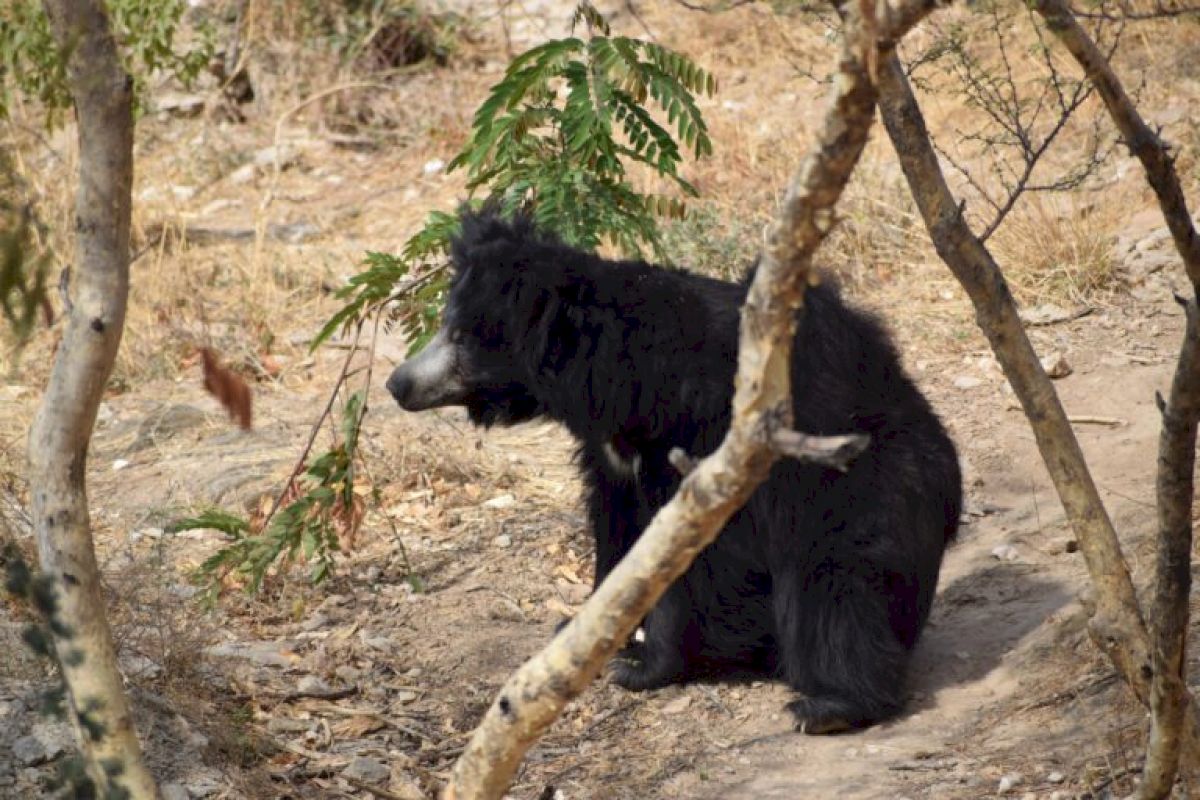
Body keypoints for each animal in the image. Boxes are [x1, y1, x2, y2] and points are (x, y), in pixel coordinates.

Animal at [386, 210, 962, 734]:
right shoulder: (610, 457)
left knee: (835, 585)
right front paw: (583, 631)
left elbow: (691, 559)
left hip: (868, 484)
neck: (614, 383)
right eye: (445, 326)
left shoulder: (704, 437)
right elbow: (617, 535)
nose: (397, 384)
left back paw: (831, 705)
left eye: (461, 336)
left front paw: (641, 666)